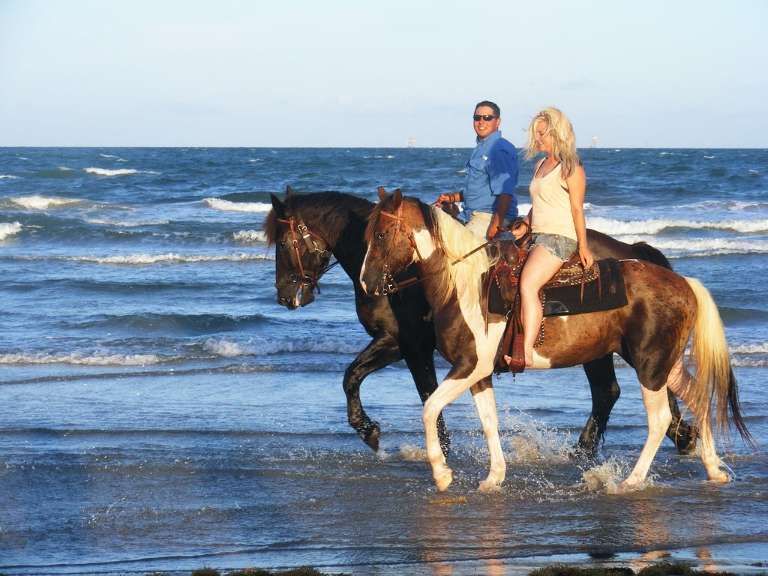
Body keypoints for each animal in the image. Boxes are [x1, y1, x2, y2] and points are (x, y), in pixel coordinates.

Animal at [265, 188, 696, 458]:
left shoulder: (405, 343)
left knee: (619, 389)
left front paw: (384, 434)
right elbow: (361, 378)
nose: (284, 295)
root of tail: (633, 251)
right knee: (617, 390)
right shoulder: (407, 347)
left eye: (283, 244)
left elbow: (368, 379)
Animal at [359, 189, 751, 492]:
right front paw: (493, 477)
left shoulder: (470, 366)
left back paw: (631, 481)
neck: (468, 286)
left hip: (650, 365)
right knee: (698, 397)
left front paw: (442, 474)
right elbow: (489, 421)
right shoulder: (479, 374)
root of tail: (683, 282)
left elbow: (429, 409)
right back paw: (713, 469)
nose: (366, 283)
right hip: (665, 364)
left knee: (658, 418)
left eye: (381, 235)